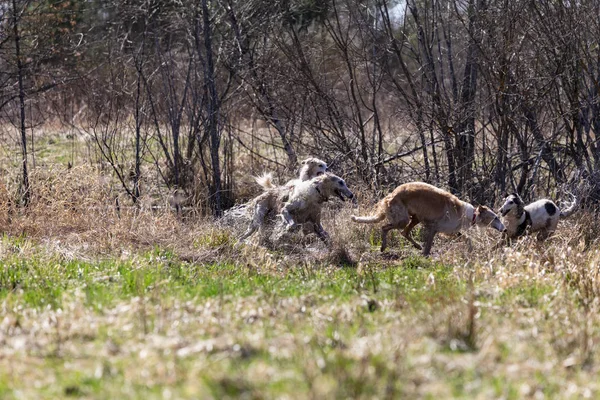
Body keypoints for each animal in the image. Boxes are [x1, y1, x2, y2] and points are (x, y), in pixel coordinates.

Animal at [352, 182, 506, 255]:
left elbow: (468, 239)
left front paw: (472, 251)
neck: (468, 213)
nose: (505, 229)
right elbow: (429, 246)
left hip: (414, 219)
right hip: (403, 220)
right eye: (495, 218)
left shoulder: (453, 231)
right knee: (385, 228)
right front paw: (425, 255)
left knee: (404, 232)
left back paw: (416, 245)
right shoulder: (433, 228)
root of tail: (391, 195)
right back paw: (383, 246)